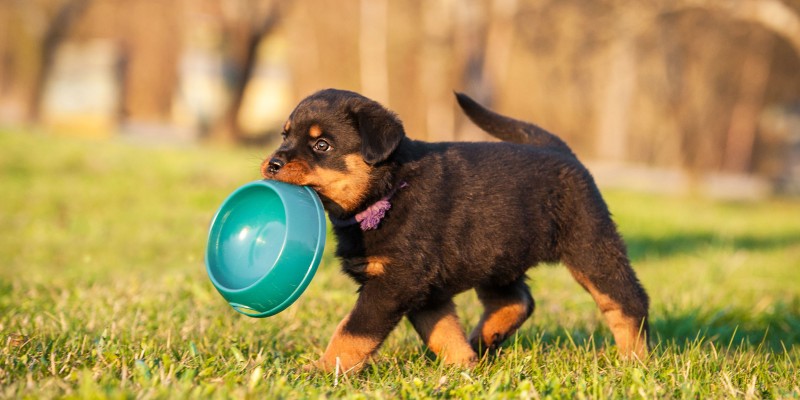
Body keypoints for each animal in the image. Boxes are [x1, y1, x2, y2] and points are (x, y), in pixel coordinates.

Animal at [262, 89, 648, 374]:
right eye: (285, 135)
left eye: (322, 145)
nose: (272, 163)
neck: (387, 190)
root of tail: (559, 149)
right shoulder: (424, 288)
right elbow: (443, 331)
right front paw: (463, 366)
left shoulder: (396, 281)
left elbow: (353, 330)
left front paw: (322, 369)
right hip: (497, 254)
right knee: (516, 300)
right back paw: (483, 339)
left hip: (590, 244)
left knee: (627, 301)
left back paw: (635, 360)